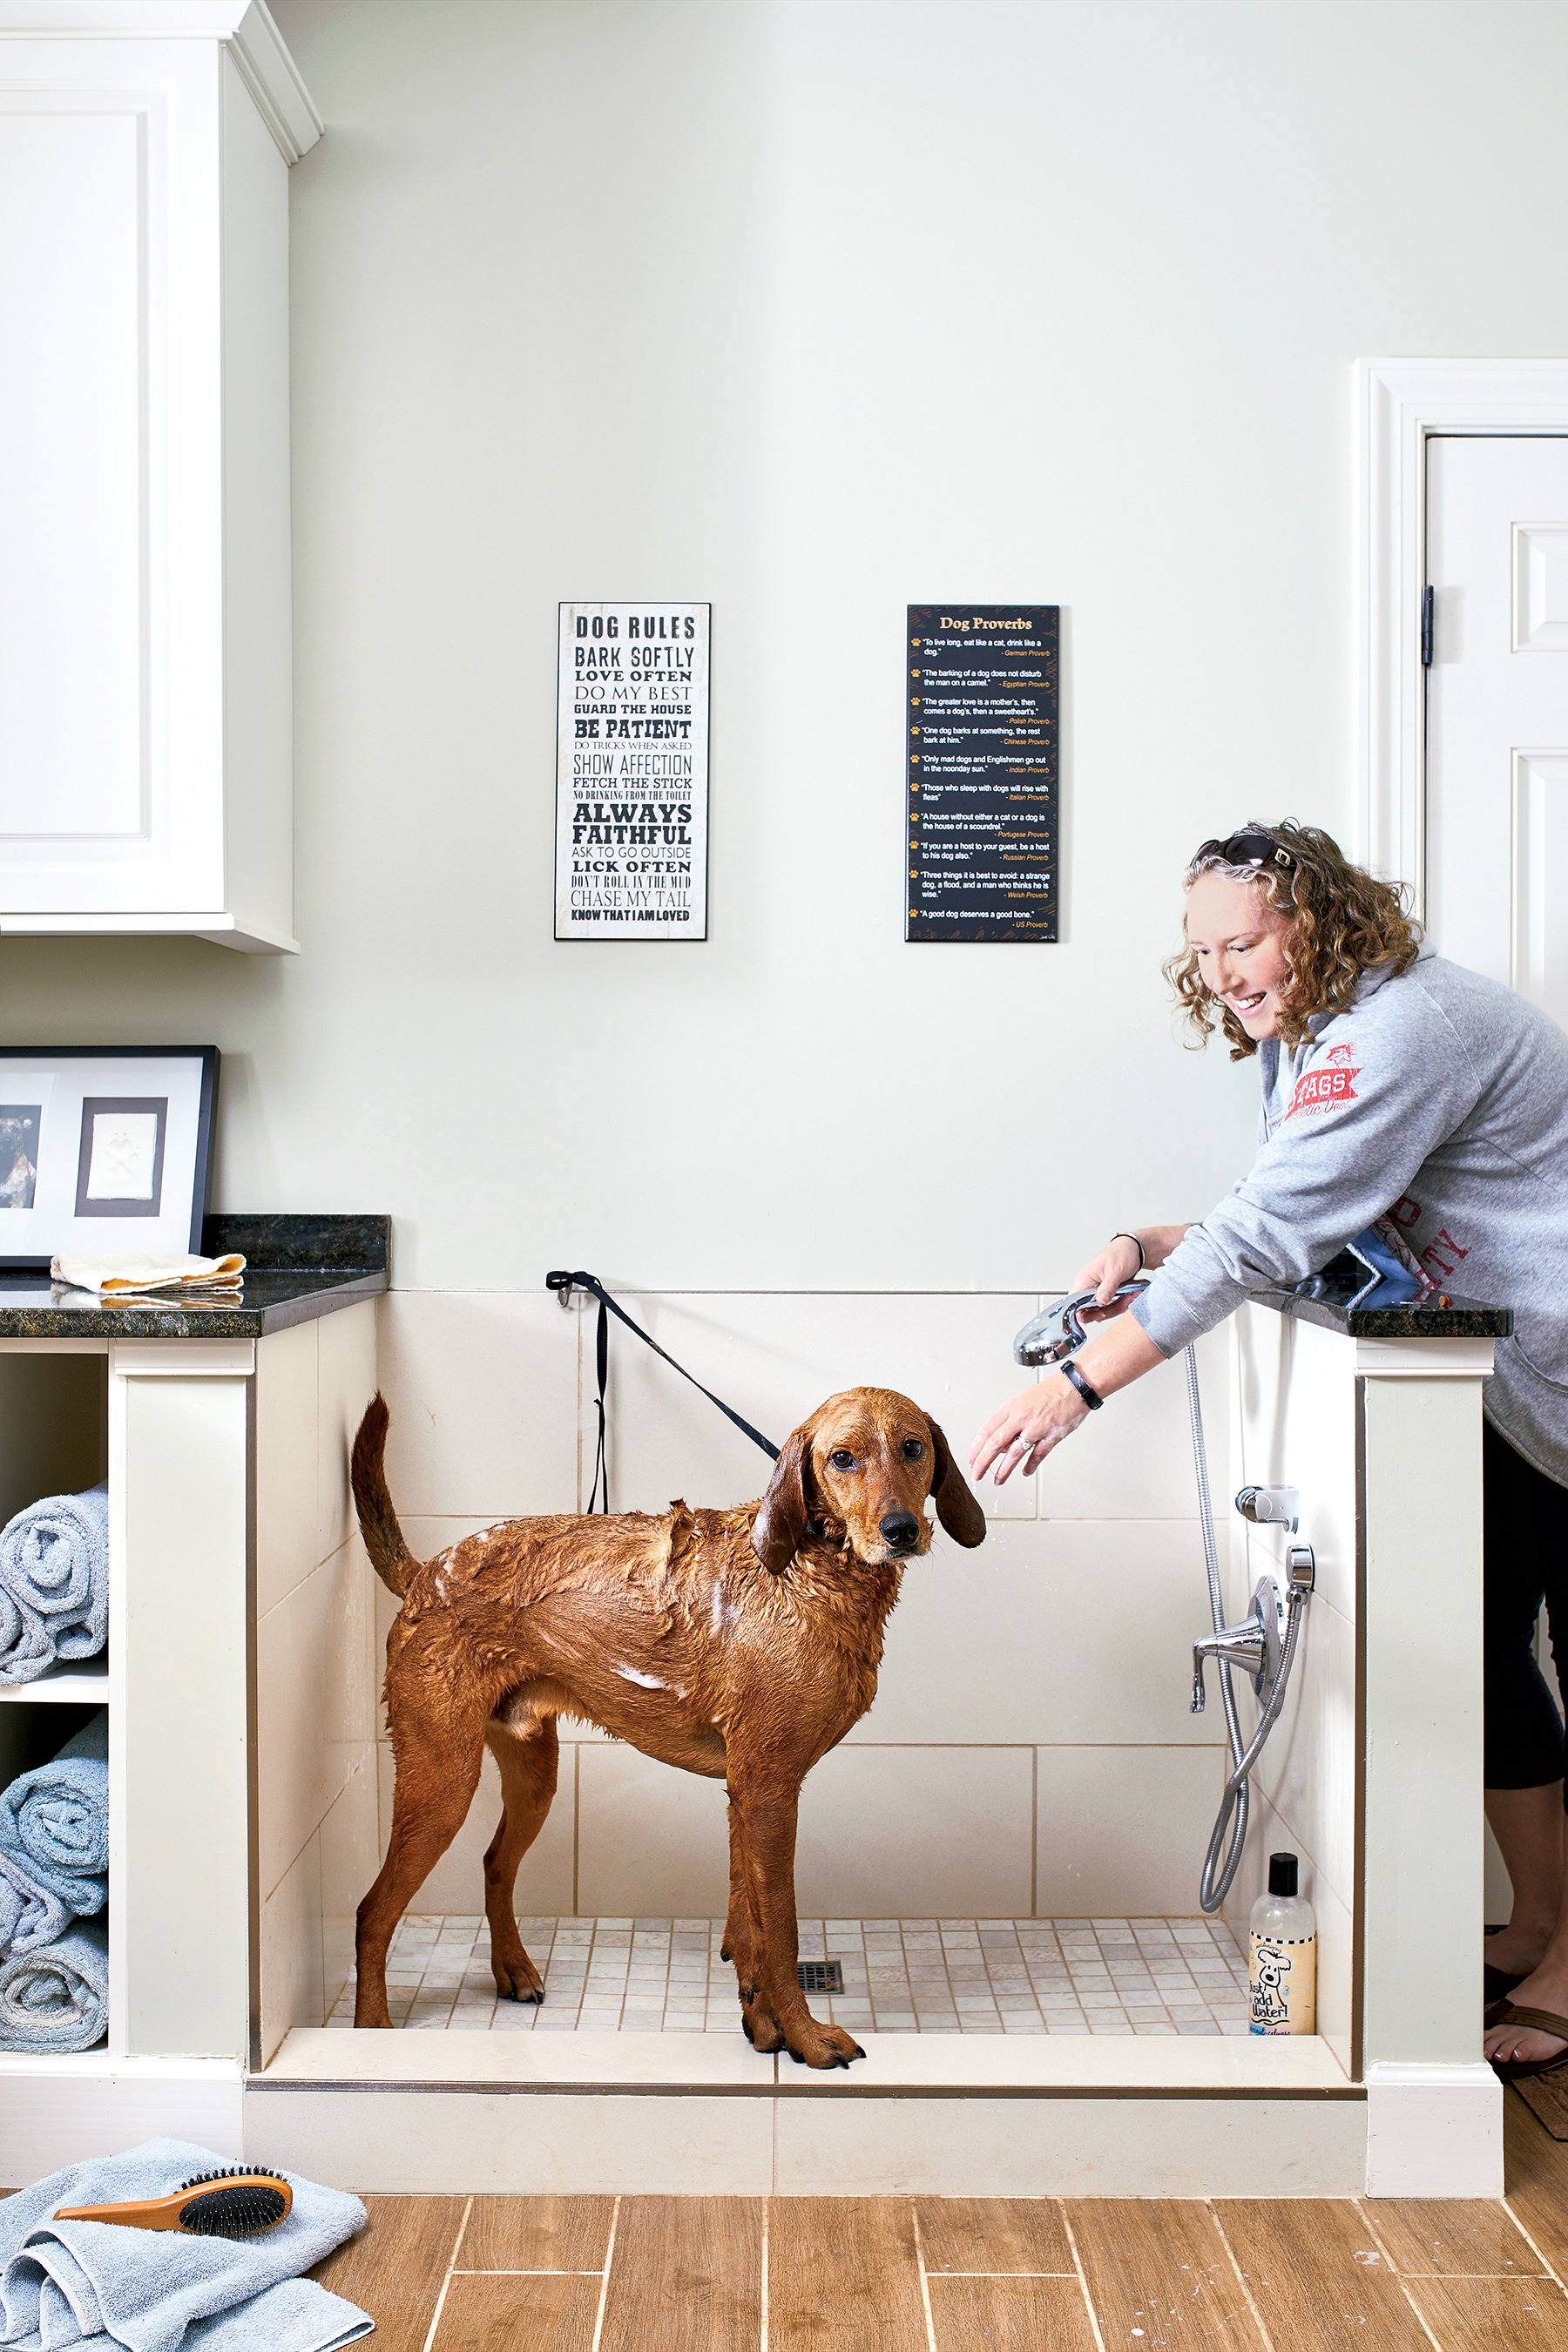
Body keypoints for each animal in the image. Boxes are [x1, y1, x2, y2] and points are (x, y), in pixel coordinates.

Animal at [355, 1382, 987, 2070]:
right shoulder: (770, 1791)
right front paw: (807, 2038)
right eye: (842, 1458)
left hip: (534, 1777)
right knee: (371, 1913)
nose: (902, 1530)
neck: (811, 1573)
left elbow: (746, 1924)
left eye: (913, 1448)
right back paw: (370, 2031)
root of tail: (425, 1576)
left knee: (496, 1864)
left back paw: (514, 1970)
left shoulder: (746, 1793)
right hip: (441, 1782)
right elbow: (781, 1931)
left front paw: (763, 2025)